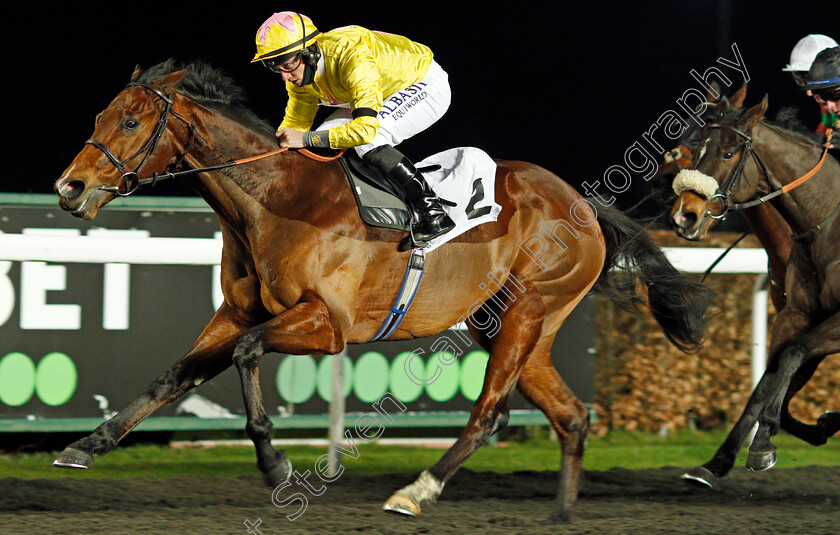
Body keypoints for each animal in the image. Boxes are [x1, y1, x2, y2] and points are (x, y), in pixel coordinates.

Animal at [52, 59, 712, 524]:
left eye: (131, 122)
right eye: (98, 118)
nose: (68, 187)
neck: (275, 199)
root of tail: (583, 203)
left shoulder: (329, 325)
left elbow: (247, 354)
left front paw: (275, 464)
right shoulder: (237, 310)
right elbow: (174, 376)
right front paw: (88, 444)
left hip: (528, 310)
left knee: (489, 413)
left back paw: (415, 492)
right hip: (510, 325)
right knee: (571, 415)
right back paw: (561, 514)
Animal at [668, 91, 840, 490]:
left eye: (728, 153)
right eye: (696, 149)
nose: (685, 215)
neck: (824, 221)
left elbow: (792, 355)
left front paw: (762, 442)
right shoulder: (796, 315)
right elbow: (766, 385)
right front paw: (716, 462)